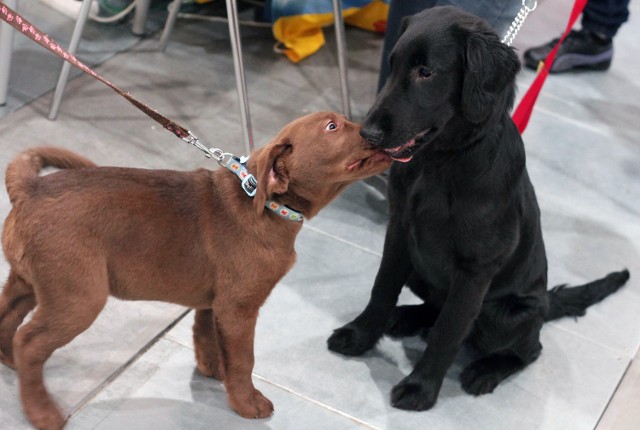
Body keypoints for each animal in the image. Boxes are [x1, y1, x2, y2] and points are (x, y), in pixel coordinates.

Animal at [0, 111, 390, 430]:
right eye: (332, 127)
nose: (376, 131)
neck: (267, 204)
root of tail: (30, 189)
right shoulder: (238, 309)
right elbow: (244, 359)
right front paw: (247, 403)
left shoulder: (213, 302)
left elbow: (206, 335)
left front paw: (213, 371)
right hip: (78, 298)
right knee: (30, 340)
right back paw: (42, 412)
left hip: (28, 281)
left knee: (9, 319)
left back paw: (9, 360)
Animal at [328, 5, 628, 410]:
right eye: (392, 64)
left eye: (426, 72)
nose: (368, 134)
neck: (442, 161)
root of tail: (544, 304)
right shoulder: (400, 231)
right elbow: (382, 289)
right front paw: (360, 335)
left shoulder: (475, 271)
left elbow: (448, 331)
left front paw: (420, 388)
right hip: (420, 270)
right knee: (436, 307)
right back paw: (406, 317)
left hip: (506, 315)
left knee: (528, 349)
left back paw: (486, 370)